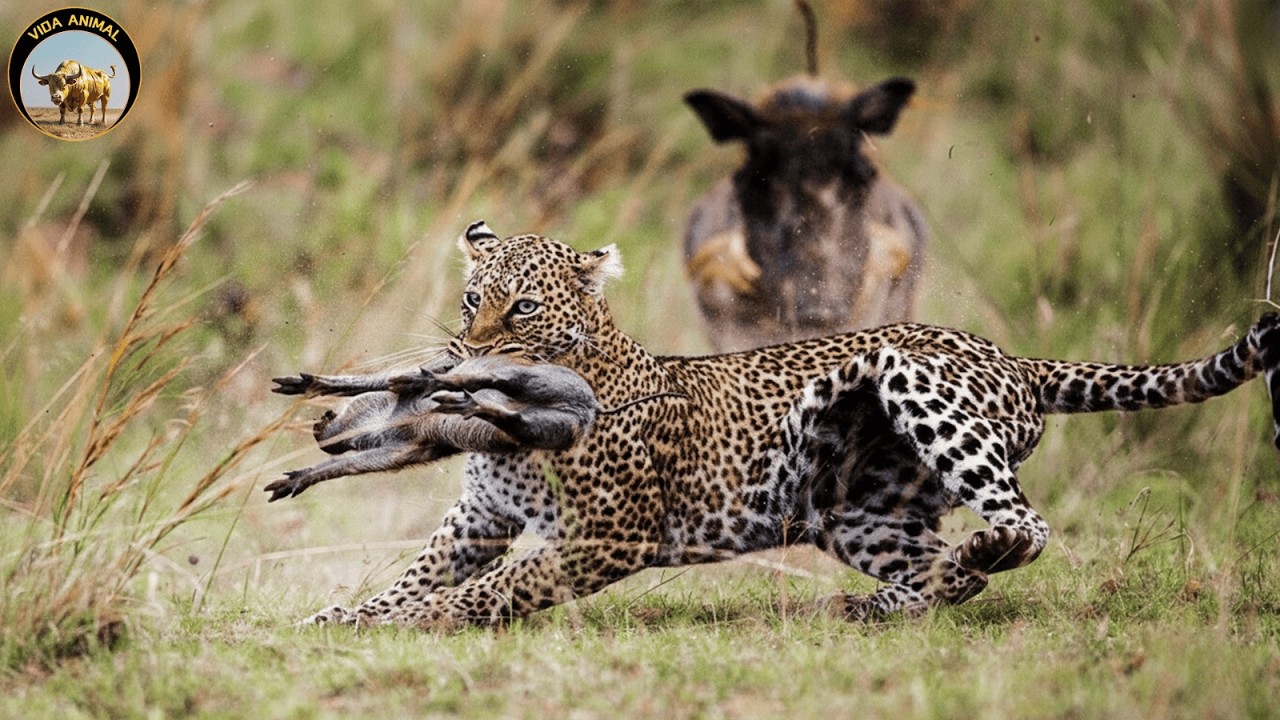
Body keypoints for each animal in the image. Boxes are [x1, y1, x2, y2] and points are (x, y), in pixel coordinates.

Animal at [271, 220, 1280, 629]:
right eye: (471, 298)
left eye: (521, 309)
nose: (459, 354)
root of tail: (1018, 358)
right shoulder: (476, 521)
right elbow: (413, 577)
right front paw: (342, 616)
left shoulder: (606, 535)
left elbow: (494, 590)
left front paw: (419, 621)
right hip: (859, 512)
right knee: (938, 572)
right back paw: (882, 603)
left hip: (918, 384)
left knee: (1024, 526)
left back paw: (975, 555)